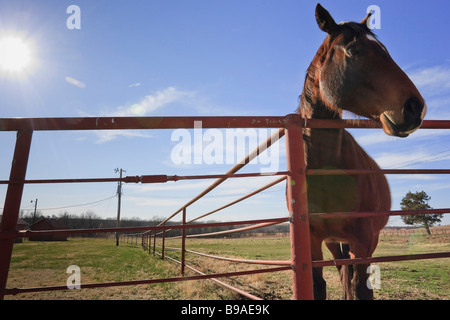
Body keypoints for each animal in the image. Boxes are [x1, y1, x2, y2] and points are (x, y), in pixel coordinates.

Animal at [298, 4, 426, 300]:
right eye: (354, 50)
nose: (415, 107)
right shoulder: (312, 241)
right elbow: (319, 286)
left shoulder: (363, 239)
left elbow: (361, 287)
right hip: (335, 243)